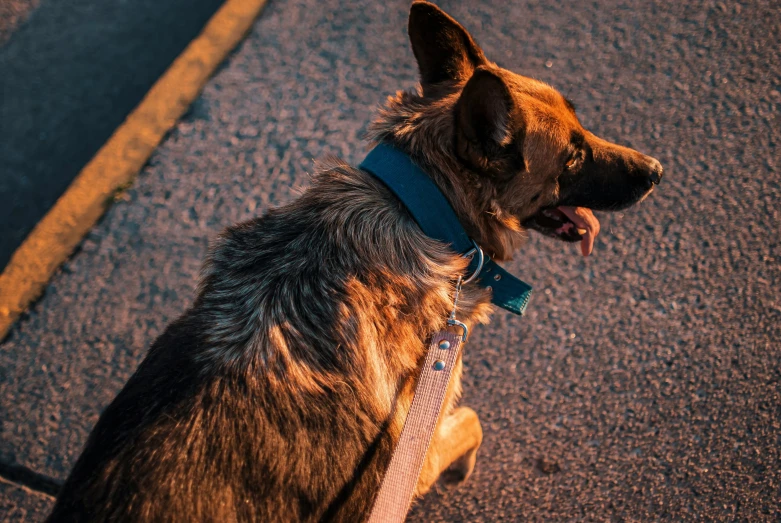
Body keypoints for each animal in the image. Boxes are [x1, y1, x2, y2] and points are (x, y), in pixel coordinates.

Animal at [47, 2, 660, 520]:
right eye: (573, 156)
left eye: (582, 124)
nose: (656, 170)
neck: (420, 206)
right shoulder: (411, 459)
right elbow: (470, 421)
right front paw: (462, 467)